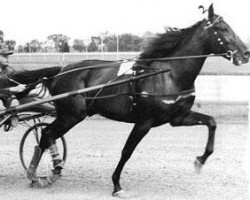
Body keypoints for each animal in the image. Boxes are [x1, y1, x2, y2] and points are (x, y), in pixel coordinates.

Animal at [26, 3, 250, 198]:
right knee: (47, 134)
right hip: (72, 115)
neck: (169, 74)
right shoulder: (144, 121)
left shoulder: (178, 117)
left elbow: (211, 122)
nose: (246, 53)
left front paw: (200, 160)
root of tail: (60, 70)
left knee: (46, 135)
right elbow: (127, 151)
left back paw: (47, 172)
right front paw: (116, 185)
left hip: (71, 115)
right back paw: (38, 173)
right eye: (222, 28)